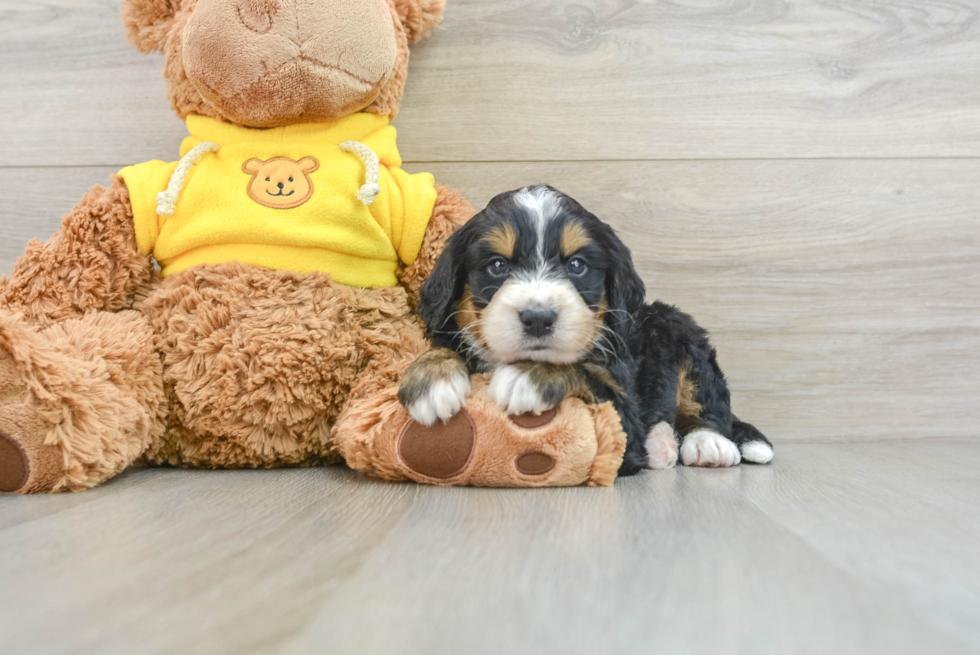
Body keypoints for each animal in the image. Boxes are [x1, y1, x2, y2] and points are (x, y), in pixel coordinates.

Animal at [398, 184, 772, 476]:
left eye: (577, 265)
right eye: (498, 265)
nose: (538, 318)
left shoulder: (624, 415)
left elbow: (582, 373)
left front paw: (529, 375)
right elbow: (444, 346)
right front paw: (431, 379)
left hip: (679, 329)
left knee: (708, 406)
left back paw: (707, 443)